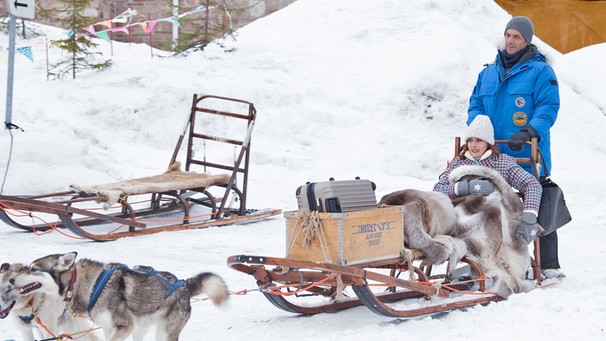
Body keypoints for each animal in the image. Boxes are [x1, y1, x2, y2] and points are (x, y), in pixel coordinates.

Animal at [11, 251, 230, 338]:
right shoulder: (110, 328)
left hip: (164, 333)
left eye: (32, 269)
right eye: (26, 268)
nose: (12, 281)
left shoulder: (124, 326)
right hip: (140, 330)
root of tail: (184, 286)